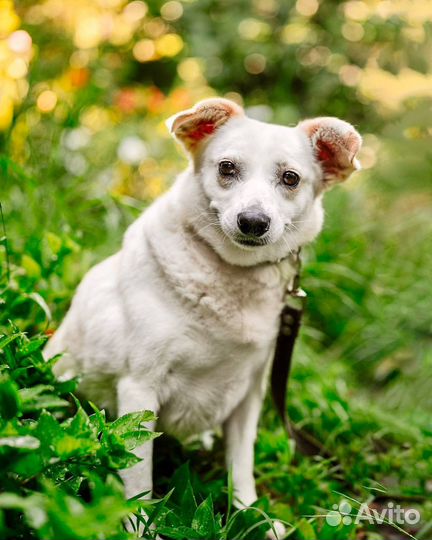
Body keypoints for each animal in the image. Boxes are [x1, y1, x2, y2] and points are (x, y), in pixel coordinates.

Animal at [44, 99, 362, 536]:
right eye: (227, 168)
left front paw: (254, 517)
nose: (253, 221)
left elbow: (241, 469)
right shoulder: (139, 390)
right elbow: (138, 481)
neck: (232, 280)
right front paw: (140, 529)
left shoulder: (249, 396)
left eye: (290, 178)